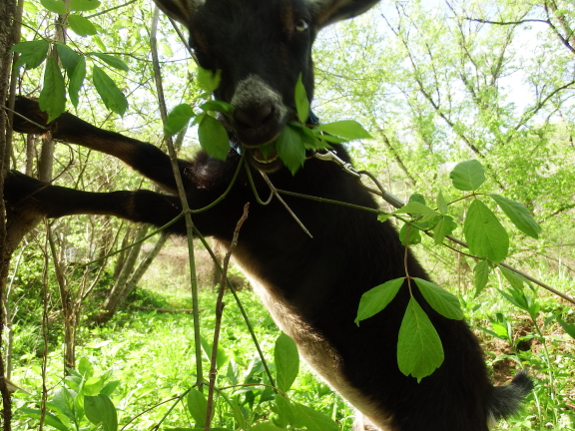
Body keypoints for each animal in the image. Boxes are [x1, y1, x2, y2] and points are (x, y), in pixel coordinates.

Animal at [4, 0, 532, 431]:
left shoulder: (215, 214)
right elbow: (138, 150)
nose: (253, 115)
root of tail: (487, 395)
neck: (278, 165)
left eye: (300, 24)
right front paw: (32, 115)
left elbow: (131, 198)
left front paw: (25, 189)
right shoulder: (207, 180)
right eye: (196, 40)